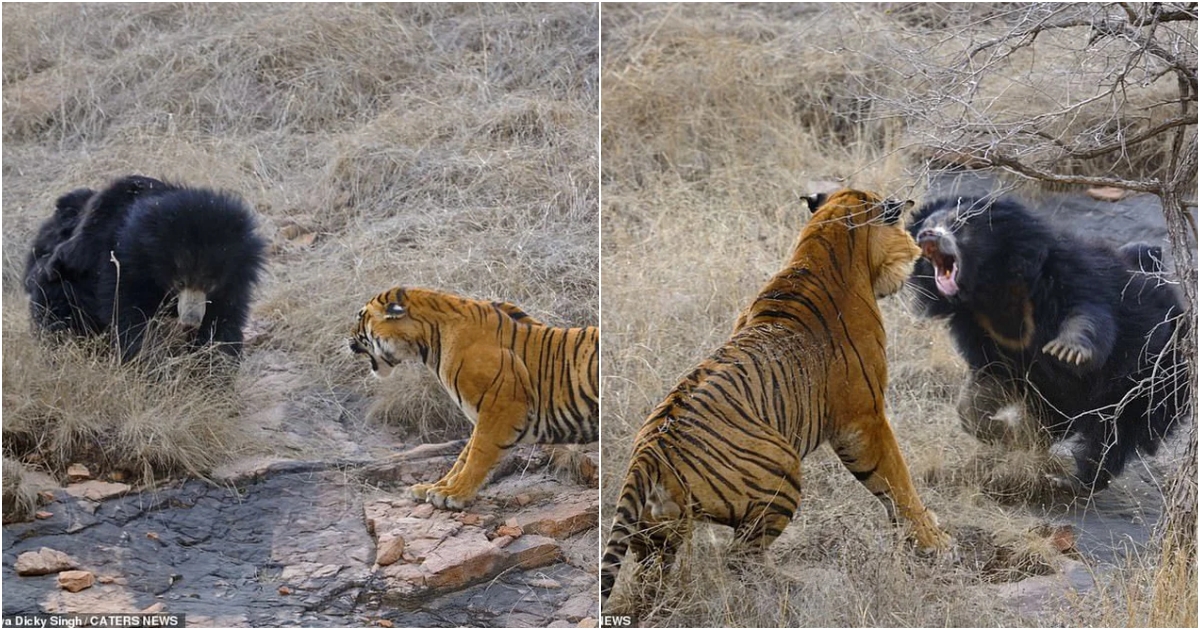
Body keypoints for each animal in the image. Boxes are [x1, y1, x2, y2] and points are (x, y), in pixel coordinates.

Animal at [21, 176, 267, 360]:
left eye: (210, 284)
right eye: (179, 281)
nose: (190, 322)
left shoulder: (234, 282)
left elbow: (224, 320)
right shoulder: (123, 266)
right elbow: (130, 317)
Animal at [350, 286, 597, 508]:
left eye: (361, 316)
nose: (348, 338)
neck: (429, 343)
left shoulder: (501, 410)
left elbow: (477, 456)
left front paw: (453, 494)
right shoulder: (483, 416)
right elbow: (463, 458)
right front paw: (433, 487)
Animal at [604, 188, 950, 609]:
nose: (917, 250)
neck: (821, 246)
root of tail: (647, 455)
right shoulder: (864, 419)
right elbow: (897, 481)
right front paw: (934, 542)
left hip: (656, 536)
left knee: (649, 581)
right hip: (782, 469)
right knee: (739, 557)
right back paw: (798, 586)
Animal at [907, 196, 1180, 492]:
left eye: (958, 224)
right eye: (928, 224)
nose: (927, 236)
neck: (989, 288)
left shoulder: (1066, 275)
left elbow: (1087, 314)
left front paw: (1067, 351)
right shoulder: (980, 329)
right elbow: (987, 383)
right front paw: (1005, 433)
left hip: (1151, 379)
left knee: (1114, 434)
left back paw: (1074, 480)